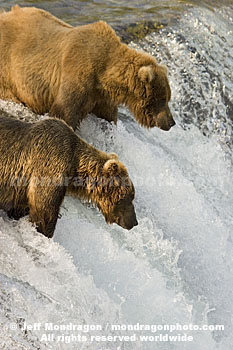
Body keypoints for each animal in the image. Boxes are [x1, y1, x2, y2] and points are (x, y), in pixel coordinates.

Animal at [0, 5, 175, 131]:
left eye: (168, 97)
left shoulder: (101, 96)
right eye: (161, 99)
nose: (171, 122)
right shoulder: (78, 74)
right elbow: (64, 113)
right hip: (7, 71)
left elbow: (108, 116)